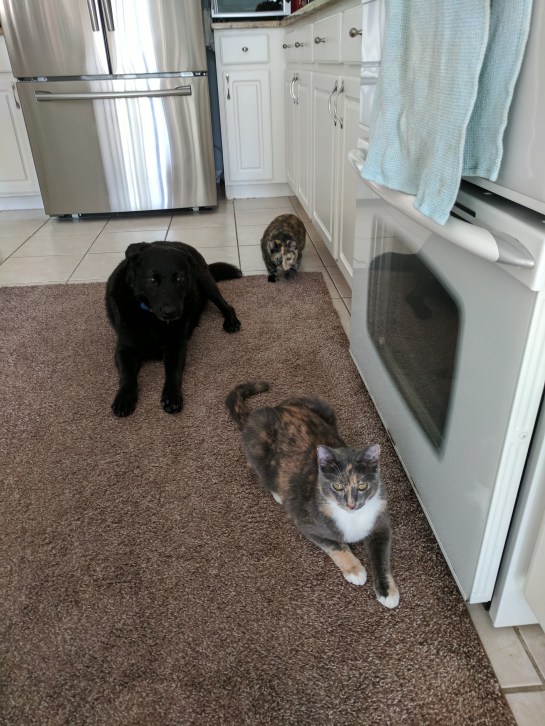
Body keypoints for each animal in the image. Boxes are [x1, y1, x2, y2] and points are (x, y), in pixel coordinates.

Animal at [105, 241, 242, 417]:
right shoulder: (124, 349)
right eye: (152, 279)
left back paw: (231, 321)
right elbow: (126, 374)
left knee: (226, 305)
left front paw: (172, 396)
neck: (152, 318)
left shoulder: (176, 347)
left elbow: (173, 372)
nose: (170, 312)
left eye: (179, 278)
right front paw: (124, 397)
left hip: (205, 281)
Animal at [225, 382, 400, 608]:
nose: (351, 504)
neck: (352, 518)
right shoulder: (307, 522)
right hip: (258, 448)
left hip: (321, 405)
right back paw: (278, 494)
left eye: (362, 485)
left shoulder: (380, 523)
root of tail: (276, 409)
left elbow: (381, 558)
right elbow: (335, 546)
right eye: (337, 486)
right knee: (259, 471)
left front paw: (387, 591)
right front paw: (355, 569)